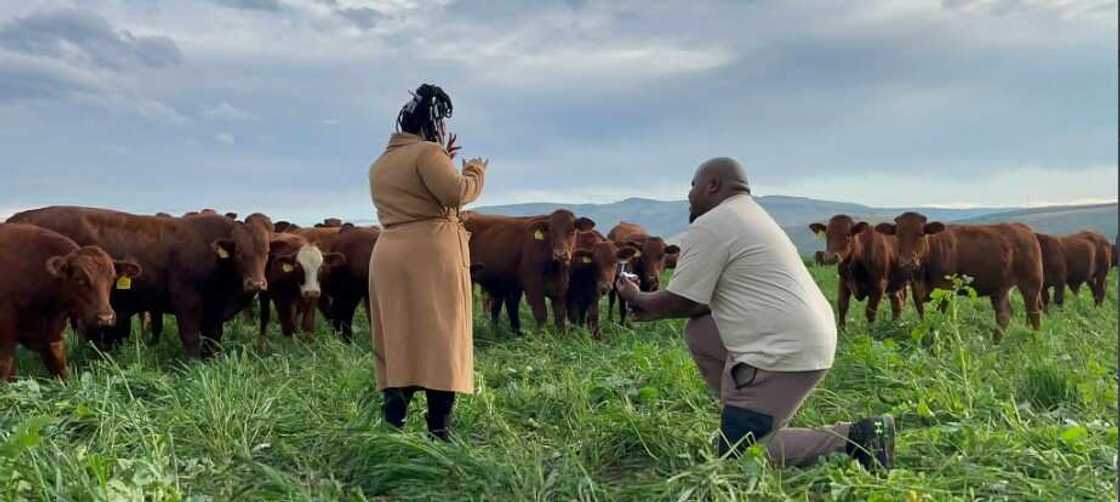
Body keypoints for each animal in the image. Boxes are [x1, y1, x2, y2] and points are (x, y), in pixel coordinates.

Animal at [0, 224, 141, 380]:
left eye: (112, 278)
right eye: (79, 279)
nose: (106, 317)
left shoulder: (53, 338)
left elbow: (62, 370)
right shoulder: (5, 340)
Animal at [7, 206, 271, 358]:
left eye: (266, 251)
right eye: (239, 254)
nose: (256, 284)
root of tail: (16, 218)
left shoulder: (213, 312)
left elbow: (213, 338)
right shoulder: (187, 301)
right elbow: (191, 337)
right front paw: (194, 367)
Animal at [461, 209, 595, 336]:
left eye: (572, 231)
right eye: (551, 232)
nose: (560, 254)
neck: (554, 268)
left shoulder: (560, 289)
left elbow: (560, 316)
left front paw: (561, 336)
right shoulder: (533, 288)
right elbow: (541, 314)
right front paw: (542, 337)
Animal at [869, 211, 1043, 340]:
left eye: (920, 234)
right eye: (897, 235)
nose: (906, 262)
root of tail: (1023, 228)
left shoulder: (945, 290)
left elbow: (938, 317)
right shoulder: (917, 291)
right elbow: (923, 316)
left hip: (1031, 283)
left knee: (1034, 313)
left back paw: (1035, 340)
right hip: (1000, 288)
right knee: (1004, 314)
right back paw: (994, 344)